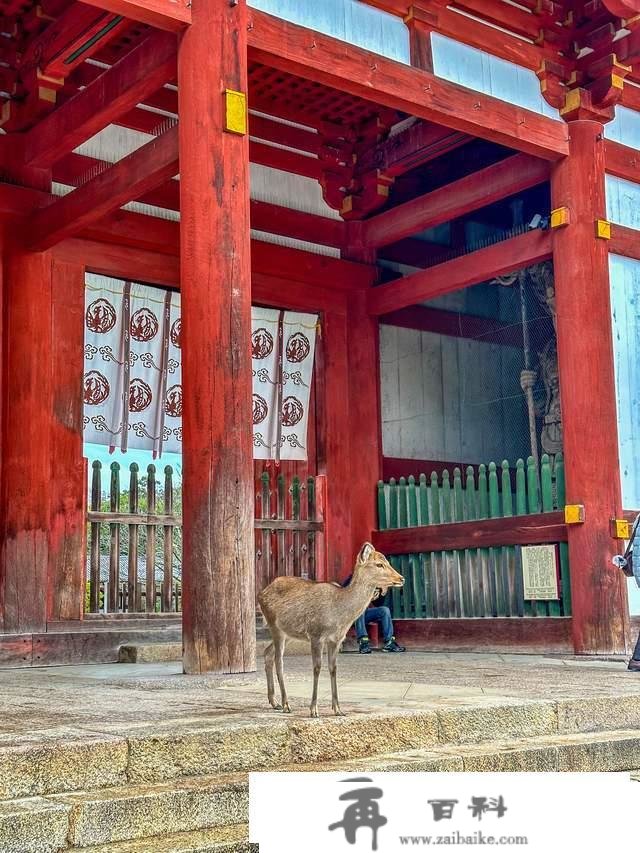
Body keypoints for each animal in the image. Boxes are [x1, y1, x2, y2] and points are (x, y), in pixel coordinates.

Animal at [256, 544, 402, 716]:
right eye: (379, 564)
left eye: (387, 562)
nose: (401, 578)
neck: (338, 616)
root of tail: (260, 594)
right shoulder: (316, 635)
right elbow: (317, 668)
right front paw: (313, 710)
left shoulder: (336, 639)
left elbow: (333, 668)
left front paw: (338, 709)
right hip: (275, 626)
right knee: (279, 662)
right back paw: (286, 704)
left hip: (288, 634)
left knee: (267, 653)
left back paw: (274, 702)